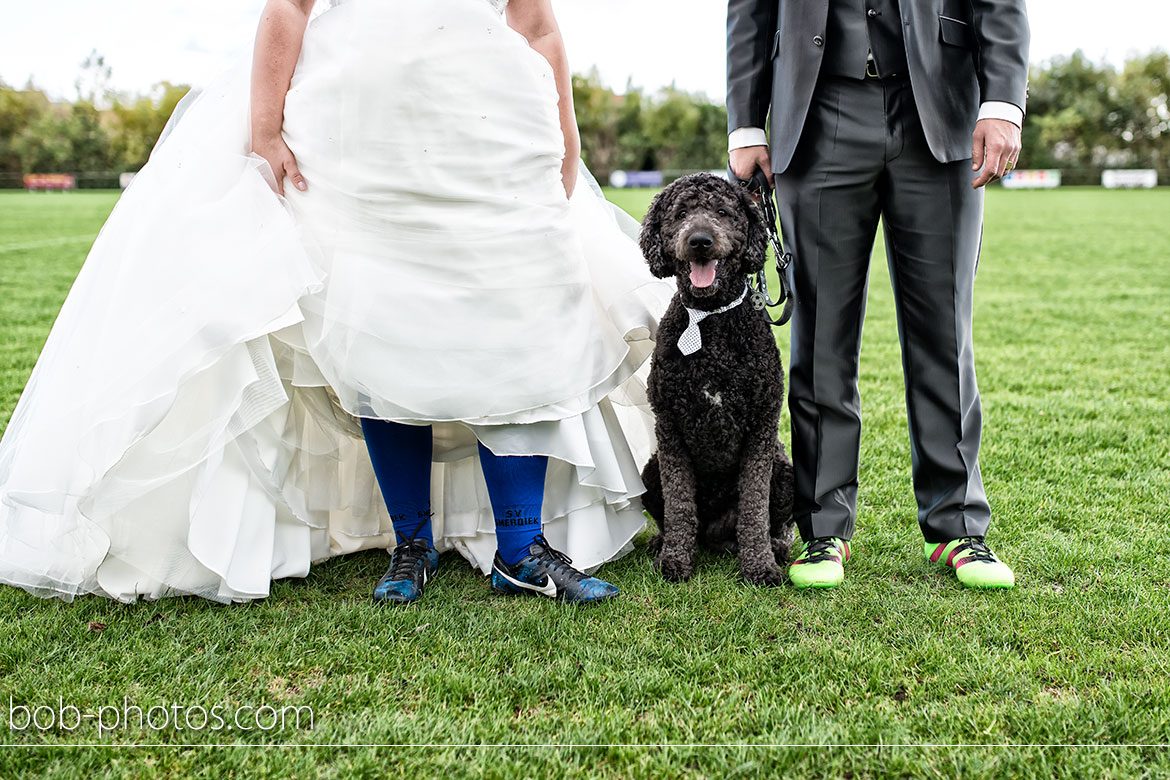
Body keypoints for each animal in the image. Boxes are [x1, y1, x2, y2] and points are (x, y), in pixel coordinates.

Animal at [641, 171, 795, 584]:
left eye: (724, 212)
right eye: (681, 213)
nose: (699, 241)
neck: (709, 322)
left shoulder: (761, 428)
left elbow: (754, 507)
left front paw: (760, 565)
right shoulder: (670, 429)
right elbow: (679, 505)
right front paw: (674, 559)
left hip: (785, 470)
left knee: (769, 522)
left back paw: (775, 547)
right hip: (650, 471)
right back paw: (662, 542)